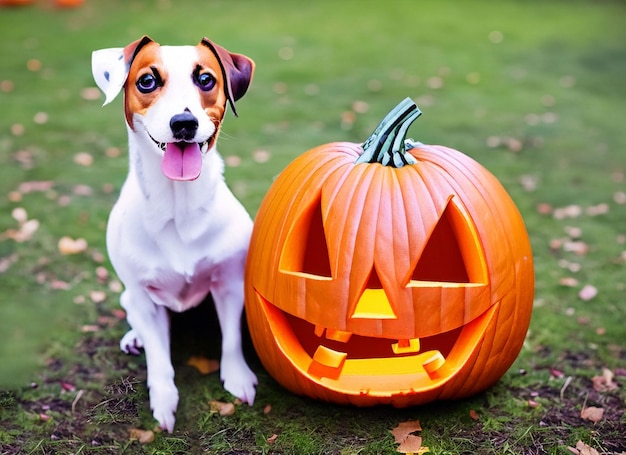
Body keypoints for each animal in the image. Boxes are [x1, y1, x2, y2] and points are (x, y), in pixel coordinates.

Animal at [90, 37, 256, 432]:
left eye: (206, 79)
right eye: (147, 81)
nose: (184, 123)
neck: (178, 205)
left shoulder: (229, 283)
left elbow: (231, 340)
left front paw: (238, 377)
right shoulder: (143, 297)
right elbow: (159, 358)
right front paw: (163, 400)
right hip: (130, 298)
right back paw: (134, 338)